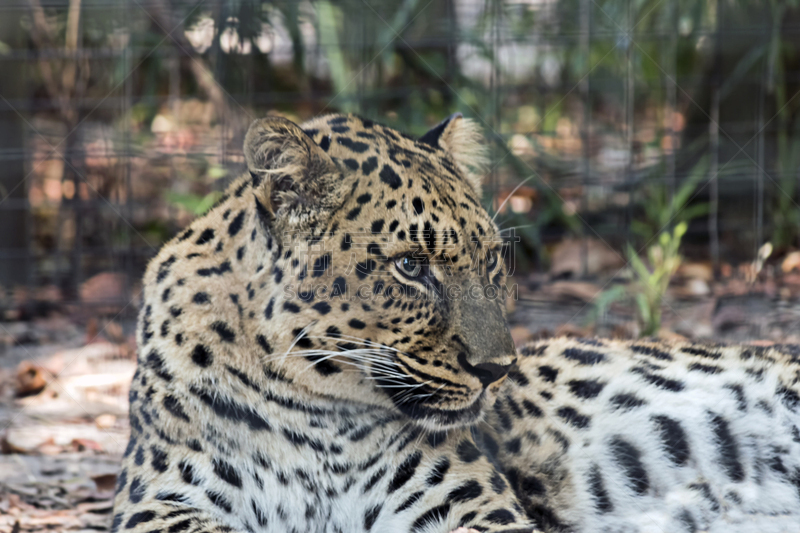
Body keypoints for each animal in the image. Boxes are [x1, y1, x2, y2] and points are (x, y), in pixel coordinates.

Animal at [111, 112, 800, 532]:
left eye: (492, 260)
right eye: (411, 266)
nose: (497, 371)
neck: (316, 416)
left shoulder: (468, 508)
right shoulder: (156, 503)